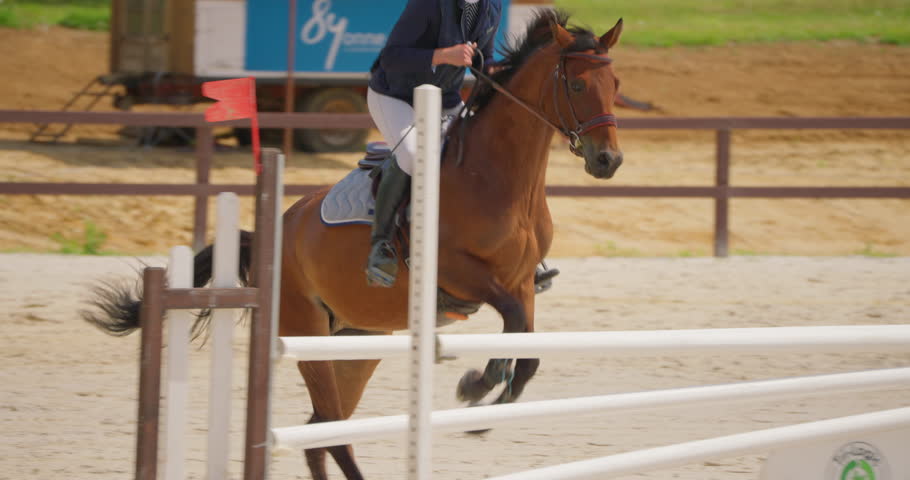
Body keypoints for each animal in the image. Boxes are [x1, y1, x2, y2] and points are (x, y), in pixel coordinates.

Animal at [84, 10, 624, 480]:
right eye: (577, 85)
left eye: (616, 87)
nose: (608, 161)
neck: (499, 178)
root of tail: (267, 237)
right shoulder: (459, 274)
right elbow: (510, 323)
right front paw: (478, 383)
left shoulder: (522, 281)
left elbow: (527, 350)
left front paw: (489, 402)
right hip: (308, 337)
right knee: (329, 431)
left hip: (359, 341)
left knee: (321, 431)